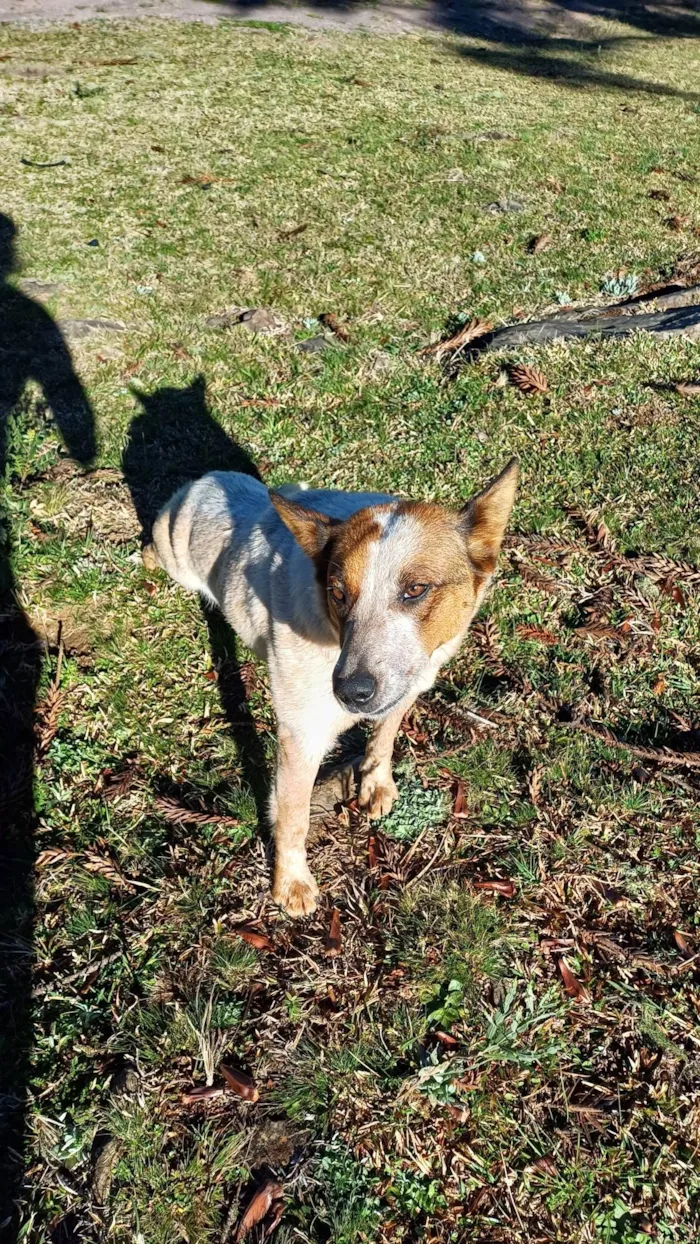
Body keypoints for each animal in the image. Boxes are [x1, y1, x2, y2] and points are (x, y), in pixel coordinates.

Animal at [146, 462, 519, 920]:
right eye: (338, 593)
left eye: (415, 589)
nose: (350, 692)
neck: (331, 635)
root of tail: (202, 481)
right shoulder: (301, 736)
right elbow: (293, 818)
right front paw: (290, 883)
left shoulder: (406, 686)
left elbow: (383, 737)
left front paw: (376, 783)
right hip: (174, 553)